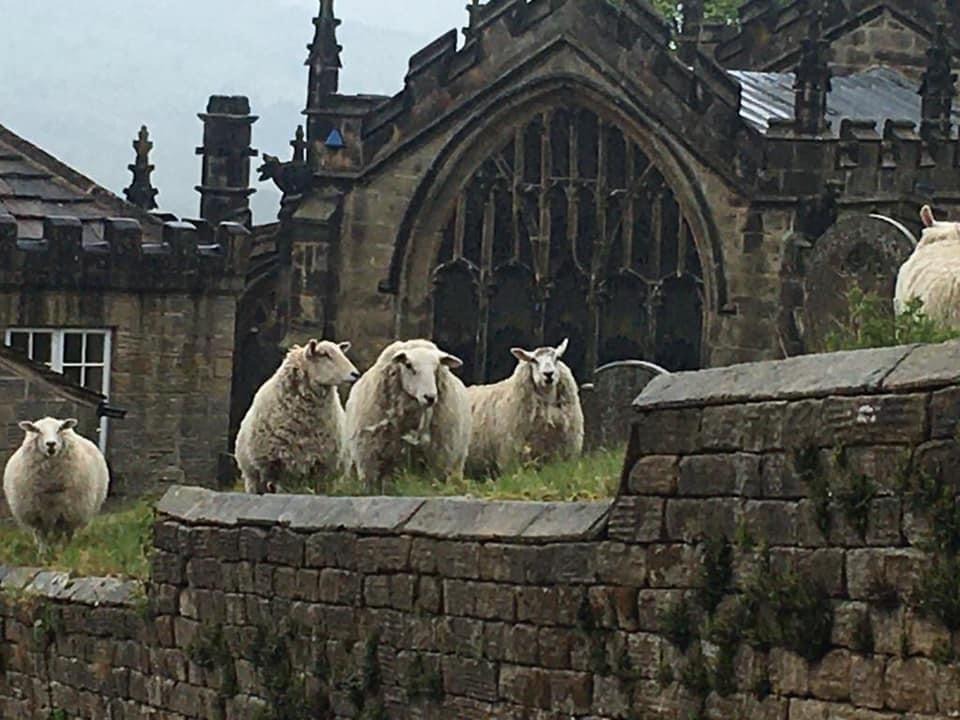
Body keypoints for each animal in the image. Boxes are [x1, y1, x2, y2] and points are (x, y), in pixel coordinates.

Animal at [2, 416, 109, 552]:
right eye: (37, 430)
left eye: (60, 429)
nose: (51, 444)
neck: (50, 482)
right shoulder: (36, 514)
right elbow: (41, 535)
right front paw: (42, 553)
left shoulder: (64, 513)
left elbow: (59, 534)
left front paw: (58, 551)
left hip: (75, 511)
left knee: (69, 533)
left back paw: (67, 547)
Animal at [235, 338, 360, 496]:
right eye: (325, 355)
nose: (355, 374)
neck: (304, 423)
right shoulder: (278, 466)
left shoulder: (321, 466)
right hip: (253, 478)